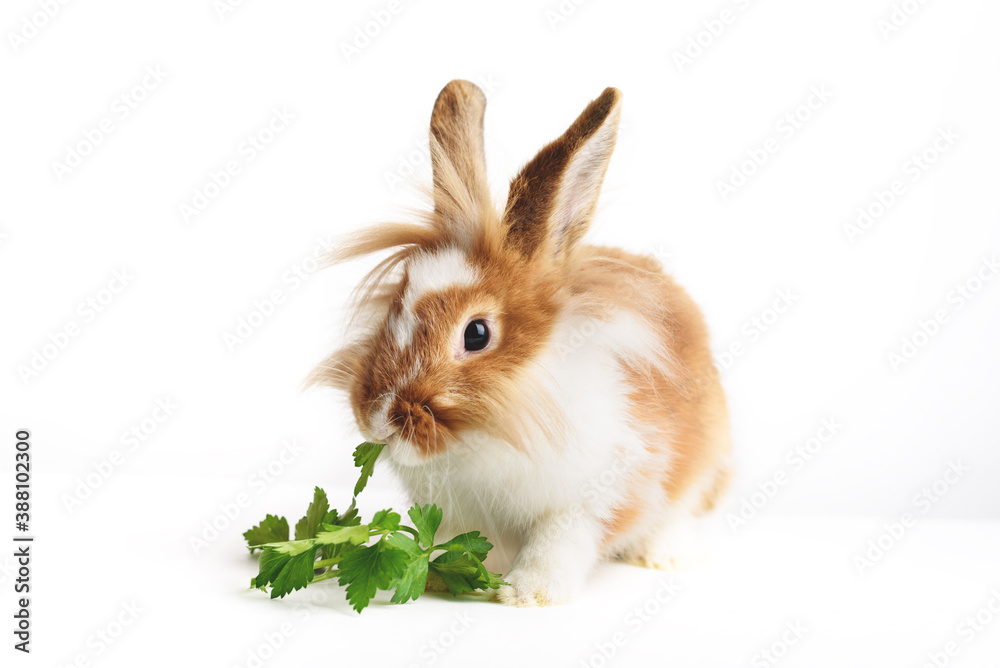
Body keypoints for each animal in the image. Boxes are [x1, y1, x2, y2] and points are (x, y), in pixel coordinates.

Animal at [310, 80, 731, 607]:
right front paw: (441, 579)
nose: (379, 419)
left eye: (476, 333)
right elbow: (456, 540)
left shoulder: (594, 499)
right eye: (394, 307)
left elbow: (557, 545)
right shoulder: (457, 512)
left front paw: (527, 595)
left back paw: (665, 556)